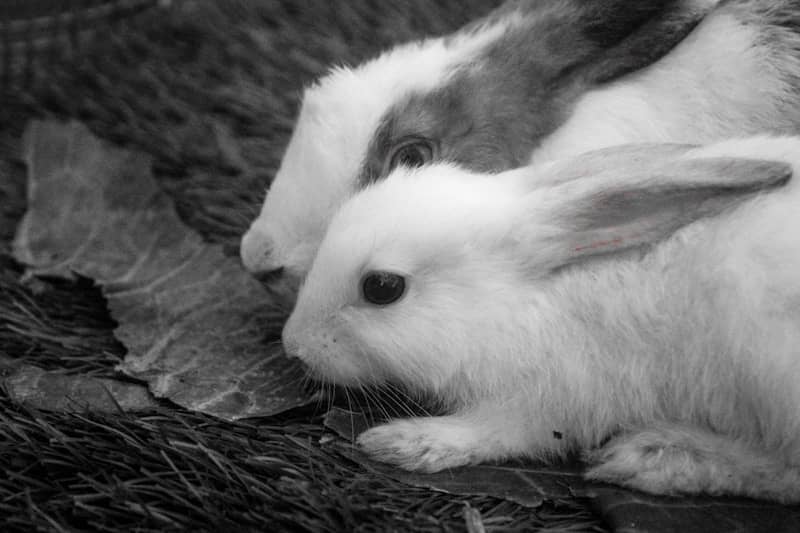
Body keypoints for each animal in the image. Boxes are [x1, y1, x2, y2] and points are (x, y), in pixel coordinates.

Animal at [282, 137, 800, 502]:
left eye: (383, 288)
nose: (294, 345)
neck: (516, 301)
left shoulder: (553, 397)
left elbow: (496, 433)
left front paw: (406, 443)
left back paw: (658, 456)